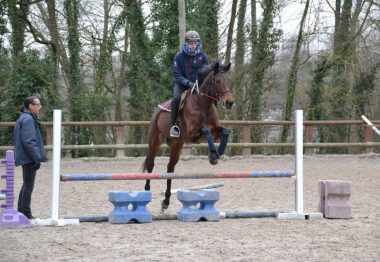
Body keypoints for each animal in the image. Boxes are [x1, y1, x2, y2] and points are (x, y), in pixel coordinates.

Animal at [141, 62, 233, 211]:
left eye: (229, 80)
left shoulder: (215, 131)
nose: (230, 102)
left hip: (177, 145)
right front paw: (213, 155)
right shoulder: (193, 133)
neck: (203, 104)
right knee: (150, 165)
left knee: (170, 169)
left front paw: (215, 156)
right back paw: (146, 191)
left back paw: (166, 201)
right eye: (218, 81)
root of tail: (158, 110)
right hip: (154, 141)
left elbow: (225, 131)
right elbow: (206, 130)